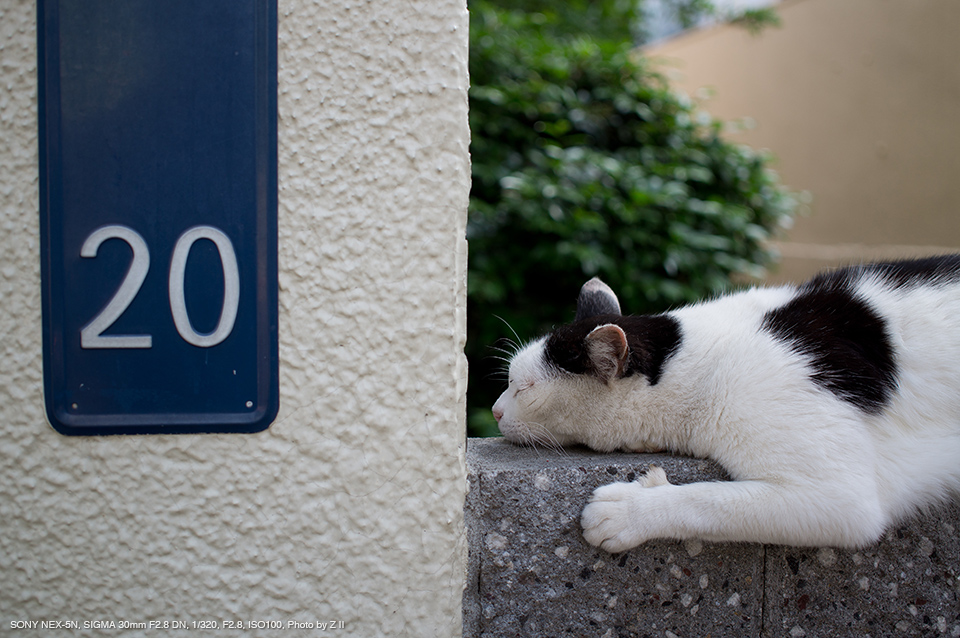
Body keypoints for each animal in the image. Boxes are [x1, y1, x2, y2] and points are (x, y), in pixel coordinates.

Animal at [492, 258, 960, 552]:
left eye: (523, 388)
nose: (495, 410)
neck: (703, 359)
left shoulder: (843, 499)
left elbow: (712, 502)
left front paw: (630, 512)